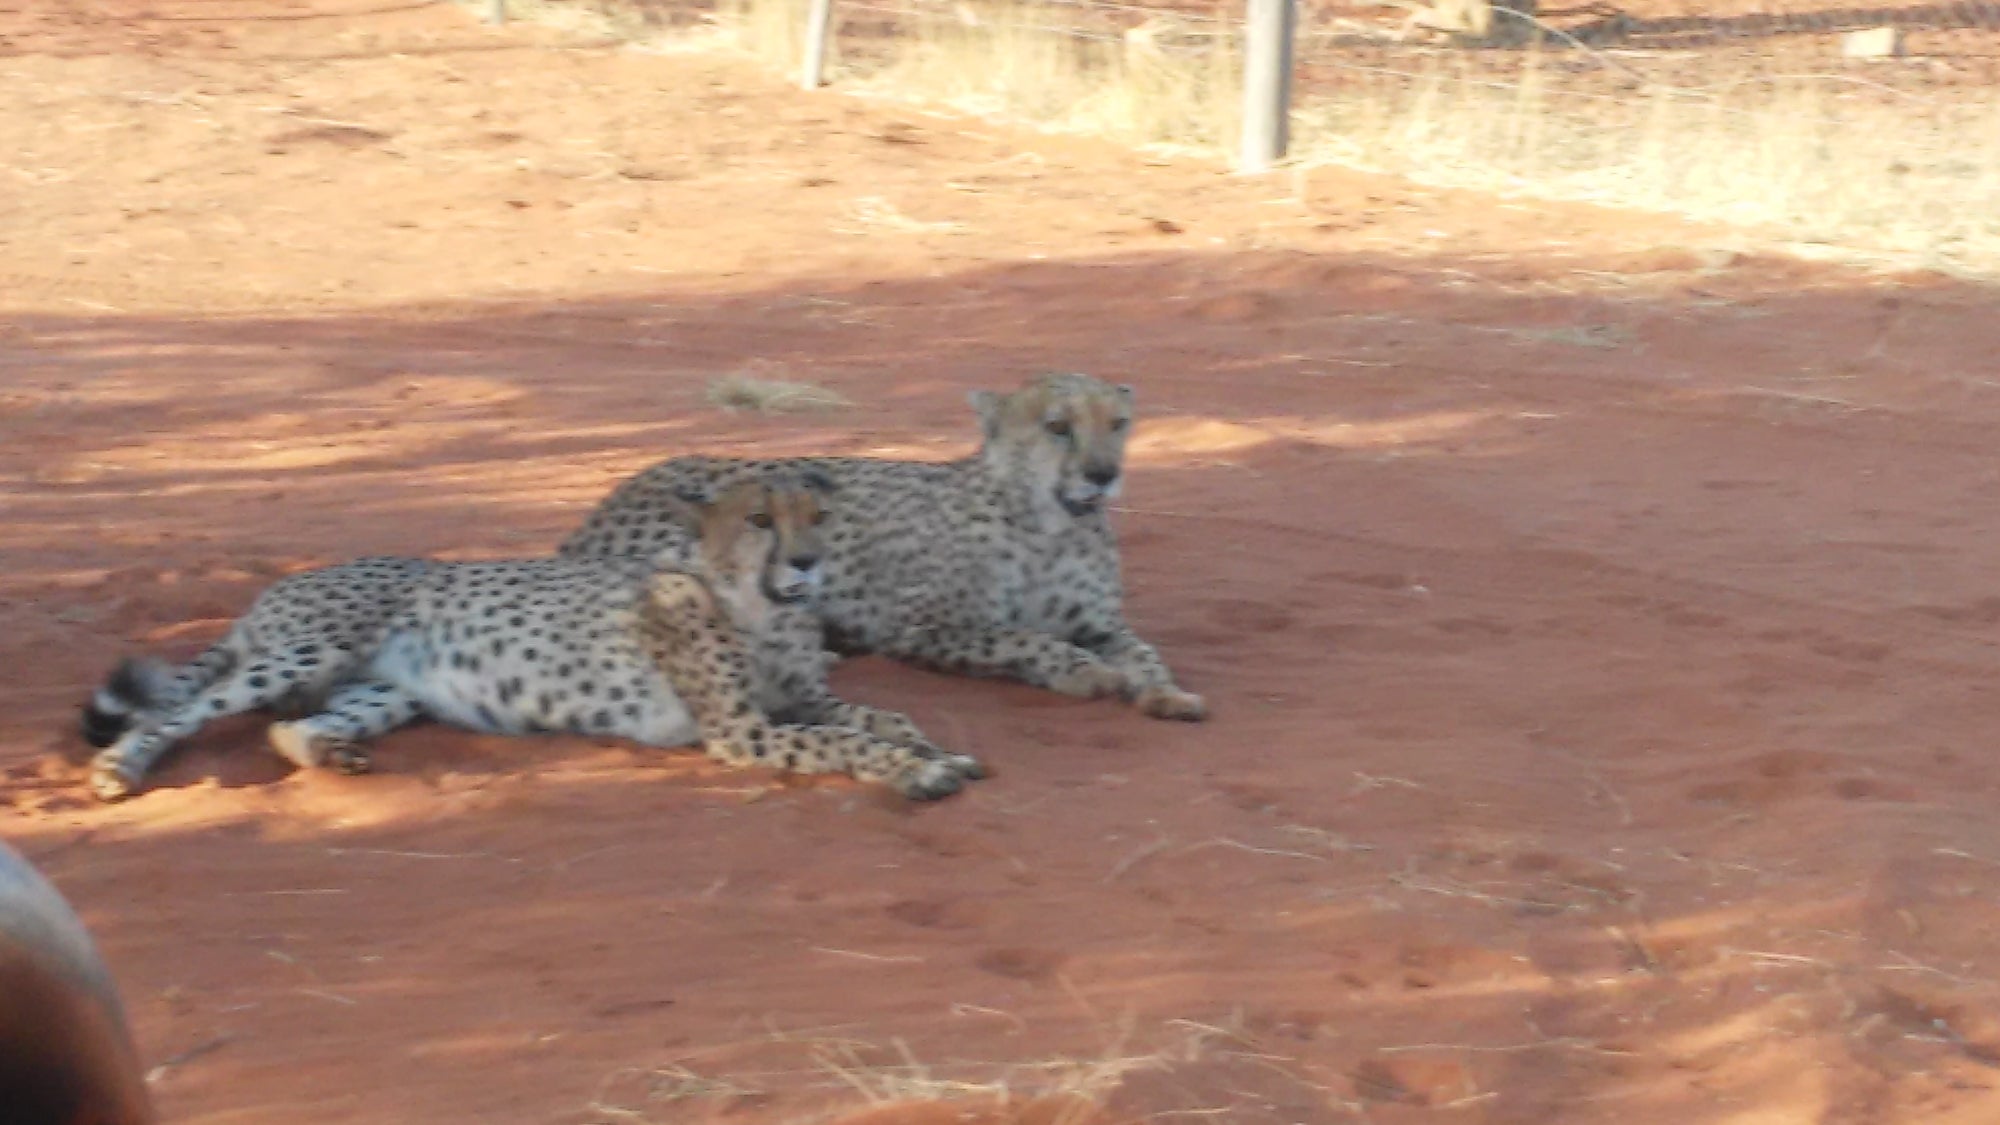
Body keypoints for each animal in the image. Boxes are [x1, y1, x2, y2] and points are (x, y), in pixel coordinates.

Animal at [80, 472, 984, 803]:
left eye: (816, 514)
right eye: (761, 518)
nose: (807, 560)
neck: (760, 605)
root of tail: (280, 584)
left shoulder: (800, 699)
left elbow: (878, 716)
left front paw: (938, 748)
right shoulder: (741, 729)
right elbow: (849, 742)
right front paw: (918, 770)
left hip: (388, 691)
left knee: (290, 725)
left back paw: (335, 756)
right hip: (303, 650)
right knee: (174, 713)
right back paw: (118, 767)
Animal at [559, 372, 1207, 723]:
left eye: (1118, 423)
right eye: (1058, 427)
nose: (1103, 474)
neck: (1051, 526)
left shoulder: (1099, 623)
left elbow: (1142, 651)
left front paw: (1167, 691)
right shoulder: (922, 626)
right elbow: (1029, 639)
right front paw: (1084, 671)